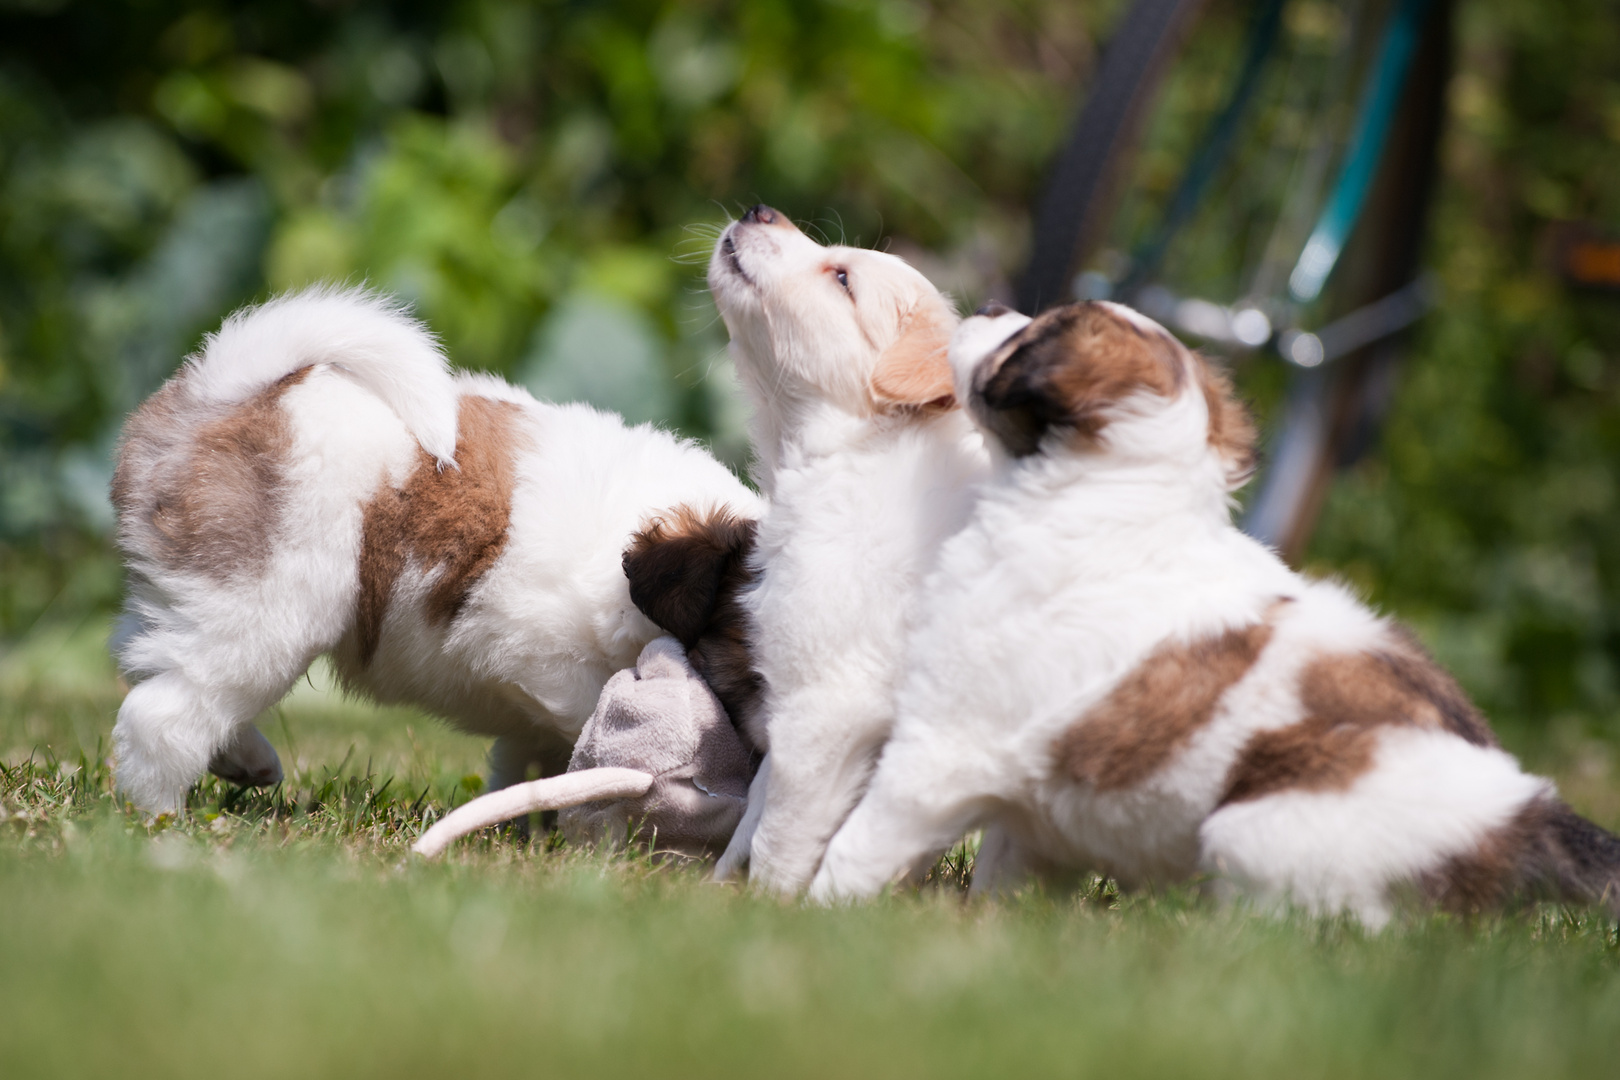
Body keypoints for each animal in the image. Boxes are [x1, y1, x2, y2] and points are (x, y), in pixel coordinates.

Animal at [112, 286, 758, 819]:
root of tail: (225, 388)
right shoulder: (545, 657)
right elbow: (581, 731)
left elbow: (530, 759)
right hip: (263, 610)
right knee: (164, 712)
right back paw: (162, 823)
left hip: (195, 596)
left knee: (148, 661)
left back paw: (243, 760)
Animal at [706, 207, 984, 893]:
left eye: (841, 278)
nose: (759, 210)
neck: (849, 451)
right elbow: (756, 808)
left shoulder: (827, 705)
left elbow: (781, 835)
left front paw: (763, 907)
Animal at [810, 299, 1620, 926]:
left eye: (1026, 337)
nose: (990, 305)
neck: (1116, 503)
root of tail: (1523, 812)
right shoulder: (1037, 807)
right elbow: (1009, 875)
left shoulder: (938, 751)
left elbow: (858, 845)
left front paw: (810, 917)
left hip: (1259, 831)